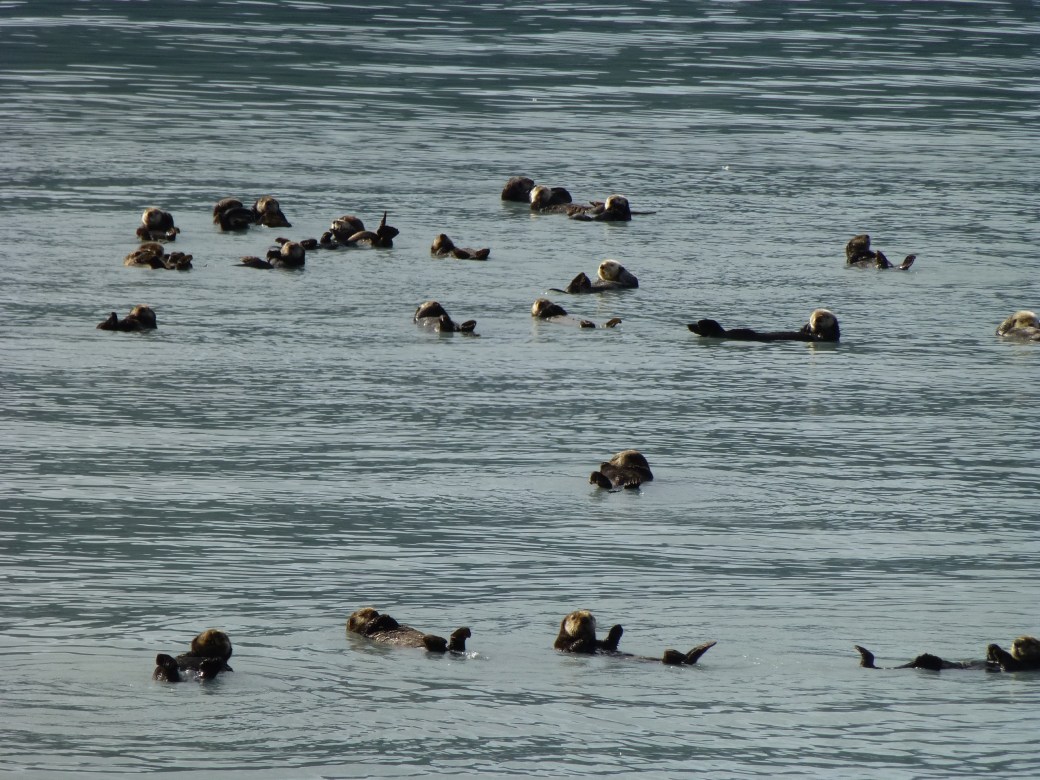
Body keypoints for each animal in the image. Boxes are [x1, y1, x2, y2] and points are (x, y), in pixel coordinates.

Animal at [554, 610, 715, 666]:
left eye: (590, 616)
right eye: (574, 617)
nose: (585, 619)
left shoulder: (603, 644)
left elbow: (610, 642)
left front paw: (617, 628)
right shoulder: (561, 646)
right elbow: (573, 646)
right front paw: (582, 639)